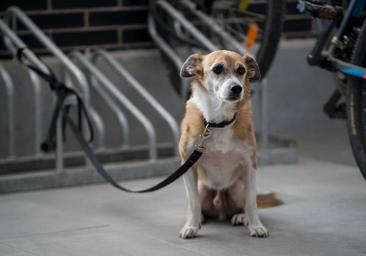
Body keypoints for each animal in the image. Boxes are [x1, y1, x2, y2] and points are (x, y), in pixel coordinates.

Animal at [178, 49, 268, 238]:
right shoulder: (187, 165)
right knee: (200, 204)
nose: (237, 88)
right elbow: (193, 202)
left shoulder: (250, 165)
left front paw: (256, 226)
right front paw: (191, 226)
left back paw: (242, 217)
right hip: (202, 187)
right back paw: (199, 219)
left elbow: (251, 202)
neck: (218, 121)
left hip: (237, 188)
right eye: (217, 69)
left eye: (241, 70)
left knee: (244, 203)